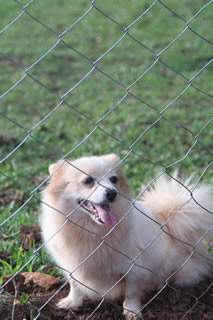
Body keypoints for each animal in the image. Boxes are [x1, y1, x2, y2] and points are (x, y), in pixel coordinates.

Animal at [40, 154, 213, 318]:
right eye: (88, 181)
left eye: (113, 179)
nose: (112, 192)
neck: (91, 231)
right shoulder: (71, 265)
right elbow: (74, 284)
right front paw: (72, 302)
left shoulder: (134, 268)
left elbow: (132, 293)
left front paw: (132, 310)